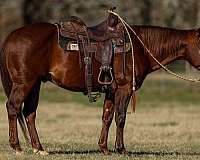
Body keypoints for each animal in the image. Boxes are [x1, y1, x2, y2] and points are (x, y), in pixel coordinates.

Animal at [0, 12, 125, 155]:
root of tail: (11, 36)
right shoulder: (124, 89)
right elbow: (119, 117)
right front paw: (119, 149)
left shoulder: (112, 91)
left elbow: (108, 116)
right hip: (24, 84)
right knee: (13, 107)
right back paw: (17, 146)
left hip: (34, 85)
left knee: (29, 112)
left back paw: (38, 148)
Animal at [99, 24, 200, 154]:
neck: (138, 47)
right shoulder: (124, 89)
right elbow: (120, 117)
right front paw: (121, 149)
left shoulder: (111, 92)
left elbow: (107, 117)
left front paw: (104, 148)